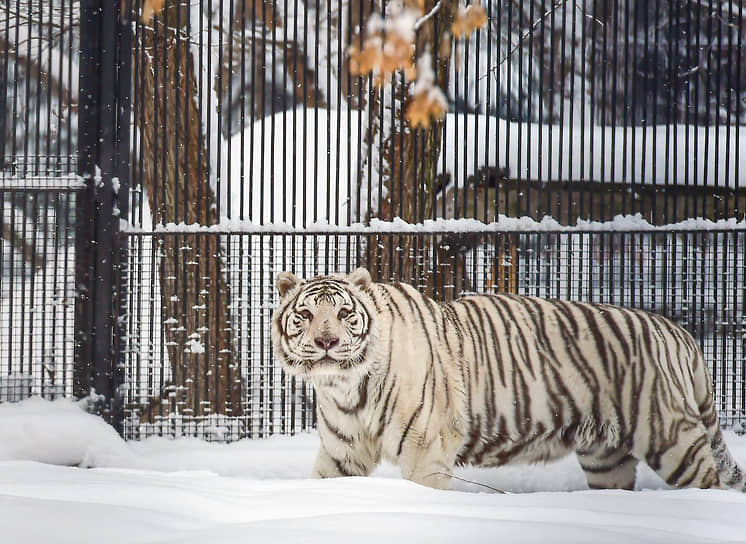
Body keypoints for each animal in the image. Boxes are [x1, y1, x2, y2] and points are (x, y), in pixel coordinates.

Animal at [272, 268, 744, 492]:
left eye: (345, 314)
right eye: (306, 314)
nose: (328, 341)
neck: (345, 387)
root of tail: (679, 332)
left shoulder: (427, 449)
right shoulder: (343, 453)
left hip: (670, 436)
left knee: (708, 482)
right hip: (606, 457)